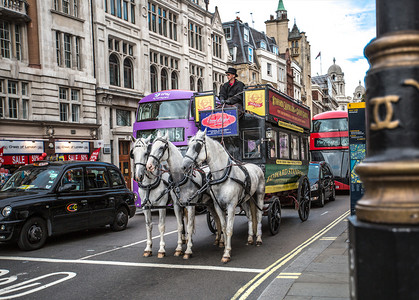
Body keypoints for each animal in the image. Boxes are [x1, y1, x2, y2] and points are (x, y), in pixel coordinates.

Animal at [181, 129, 266, 262]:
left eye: (197, 146)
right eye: (188, 145)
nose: (184, 166)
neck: (223, 176)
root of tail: (256, 166)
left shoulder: (231, 206)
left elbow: (229, 229)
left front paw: (227, 253)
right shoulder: (218, 206)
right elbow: (224, 227)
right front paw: (225, 247)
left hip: (259, 196)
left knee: (259, 215)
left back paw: (258, 239)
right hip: (245, 200)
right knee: (250, 217)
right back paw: (250, 238)